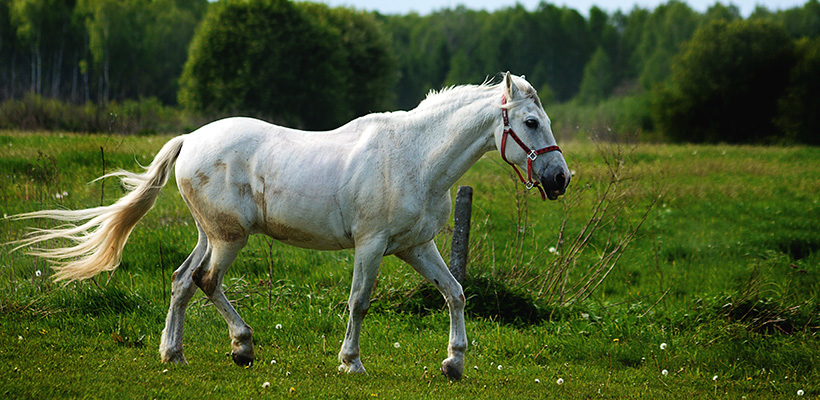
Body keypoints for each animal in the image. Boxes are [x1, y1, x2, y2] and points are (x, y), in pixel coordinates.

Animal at [12, 73, 572, 380]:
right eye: (530, 123)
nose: (559, 179)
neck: (415, 157)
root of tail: (190, 140)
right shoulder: (371, 245)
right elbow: (359, 302)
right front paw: (351, 362)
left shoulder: (416, 246)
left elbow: (454, 293)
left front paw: (454, 364)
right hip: (230, 238)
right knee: (205, 281)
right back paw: (242, 347)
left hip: (211, 234)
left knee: (181, 281)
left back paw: (174, 353)